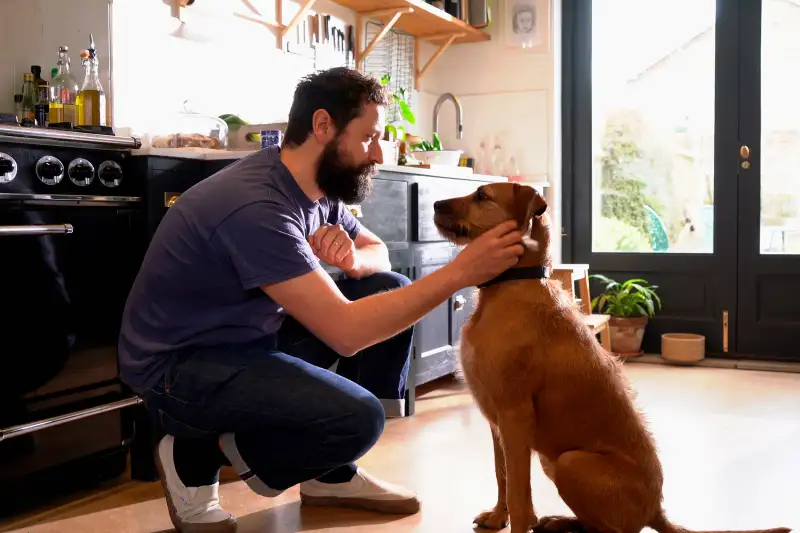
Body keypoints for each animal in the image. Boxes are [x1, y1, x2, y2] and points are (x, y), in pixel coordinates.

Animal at [432, 183, 788, 532]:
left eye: (481, 195)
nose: (434, 203)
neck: (511, 284)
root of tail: (655, 510)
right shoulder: (497, 423)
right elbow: (502, 475)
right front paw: (497, 517)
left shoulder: (515, 417)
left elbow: (520, 494)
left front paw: (516, 521)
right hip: (552, 458)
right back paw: (559, 521)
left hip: (570, 461)